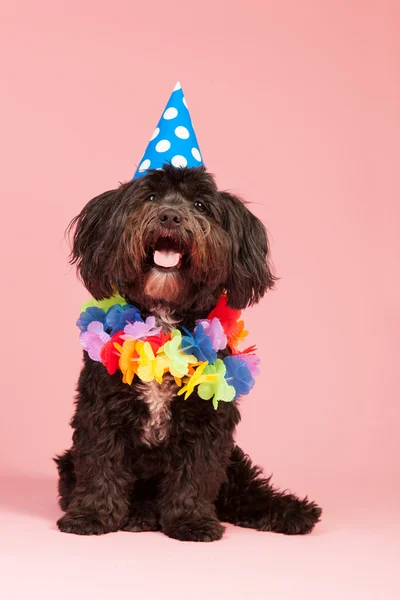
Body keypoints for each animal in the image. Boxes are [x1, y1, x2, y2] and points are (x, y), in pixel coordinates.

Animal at [54, 165, 320, 544]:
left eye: (200, 204)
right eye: (150, 196)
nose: (170, 216)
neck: (165, 321)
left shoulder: (209, 422)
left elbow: (196, 473)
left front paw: (191, 520)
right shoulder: (100, 411)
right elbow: (100, 463)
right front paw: (90, 515)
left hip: (234, 461)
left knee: (244, 492)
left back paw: (292, 512)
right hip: (68, 462)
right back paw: (141, 514)